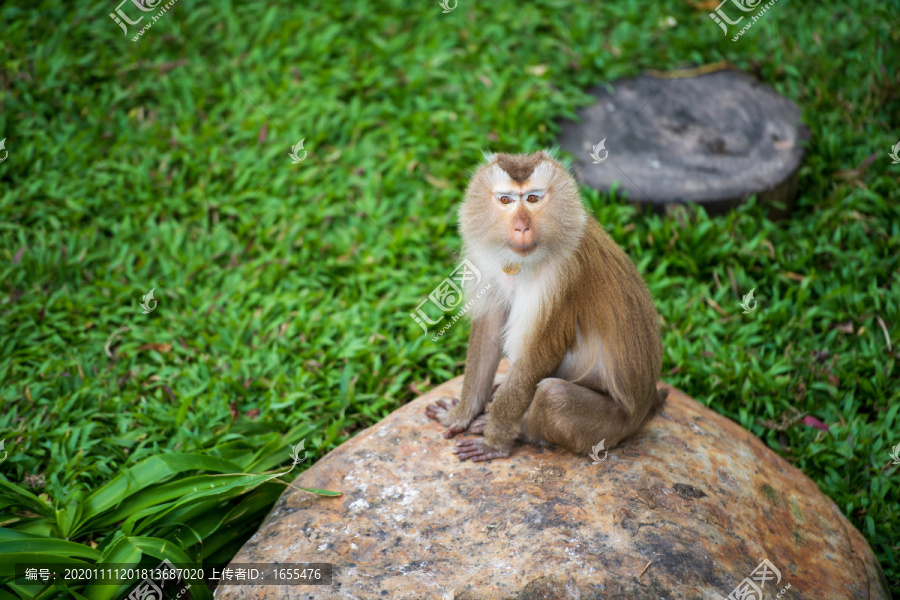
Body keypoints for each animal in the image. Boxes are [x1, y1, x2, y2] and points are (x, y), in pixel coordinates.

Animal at [424, 148, 668, 462]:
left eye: (533, 198)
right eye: (506, 200)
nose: (521, 226)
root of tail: (646, 406)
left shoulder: (562, 279)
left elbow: (537, 358)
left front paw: (495, 442)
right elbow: (489, 329)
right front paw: (460, 414)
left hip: (613, 428)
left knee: (554, 396)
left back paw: (524, 429)